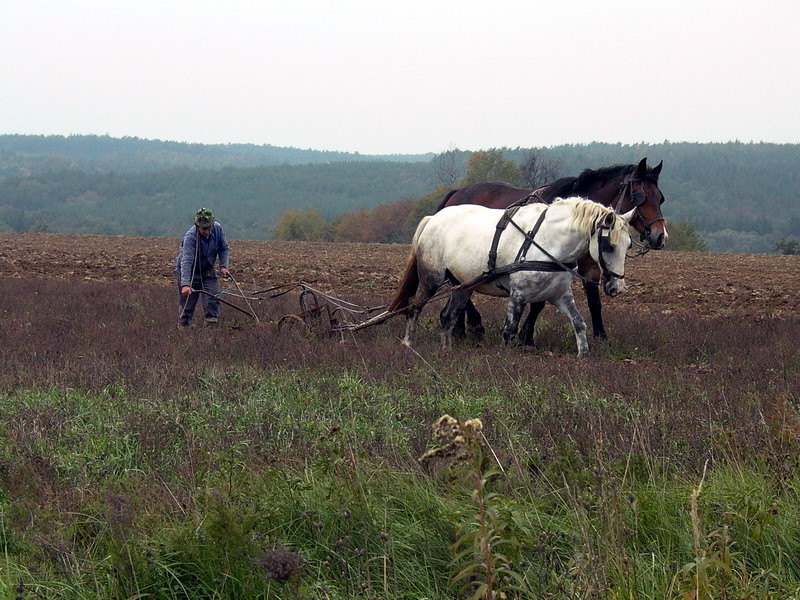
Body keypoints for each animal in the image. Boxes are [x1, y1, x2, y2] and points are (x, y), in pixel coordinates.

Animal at [384, 198, 636, 356]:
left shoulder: (560, 296)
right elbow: (509, 330)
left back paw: (447, 351)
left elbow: (579, 323)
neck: (547, 242)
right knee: (415, 308)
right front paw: (503, 359)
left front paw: (583, 356)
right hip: (431, 279)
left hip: (462, 286)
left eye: (629, 245)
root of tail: (433, 218)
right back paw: (408, 344)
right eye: (609, 245)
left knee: (449, 316)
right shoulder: (518, 296)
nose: (617, 288)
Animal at [434, 159, 664, 344]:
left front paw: (601, 336)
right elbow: (538, 303)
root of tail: (457, 193)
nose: (661, 236)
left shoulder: (590, 268)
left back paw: (459, 328)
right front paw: (526, 338)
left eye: (660, 198)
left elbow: (594, 302)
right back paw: (472, 325)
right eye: (640, 197)